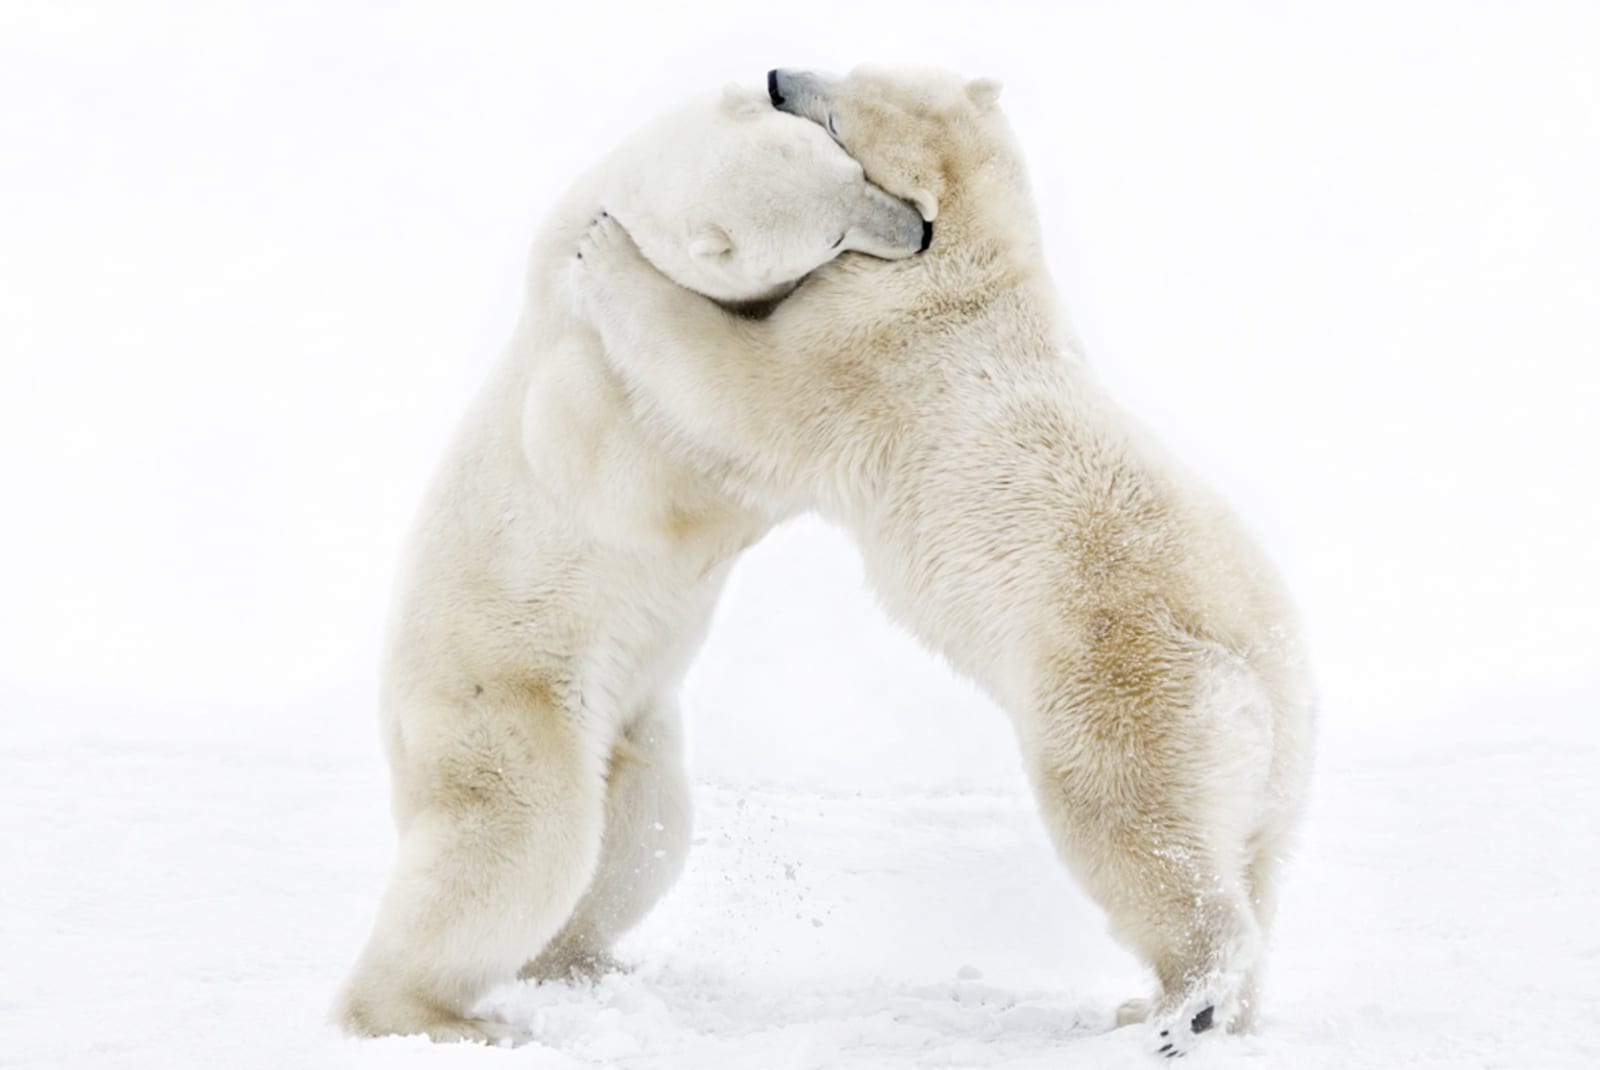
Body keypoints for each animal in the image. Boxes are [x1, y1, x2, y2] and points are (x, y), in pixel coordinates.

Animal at [332, 85, 928, 1045]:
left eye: (852, 166)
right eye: (831, 236)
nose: (916, 229)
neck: (604, 214)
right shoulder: (580, 370)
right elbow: (645, 480)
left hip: (630, 722)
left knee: (640, 835)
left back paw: (583, 959)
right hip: (504, 700)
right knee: (520, 842)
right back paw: (435, 1015)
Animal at [566, 66, 1316, 1057]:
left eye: (838, 121)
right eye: (849, 68)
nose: (776, 74)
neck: (968, 263)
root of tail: (1267, 682)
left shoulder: (864, 355)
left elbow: (742, 389)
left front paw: (605, 247)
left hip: (1126, 691)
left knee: (1134, 833)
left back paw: (1179, 1008)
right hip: (1273, 779)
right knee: (1256, 865)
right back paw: (1177, 1007)